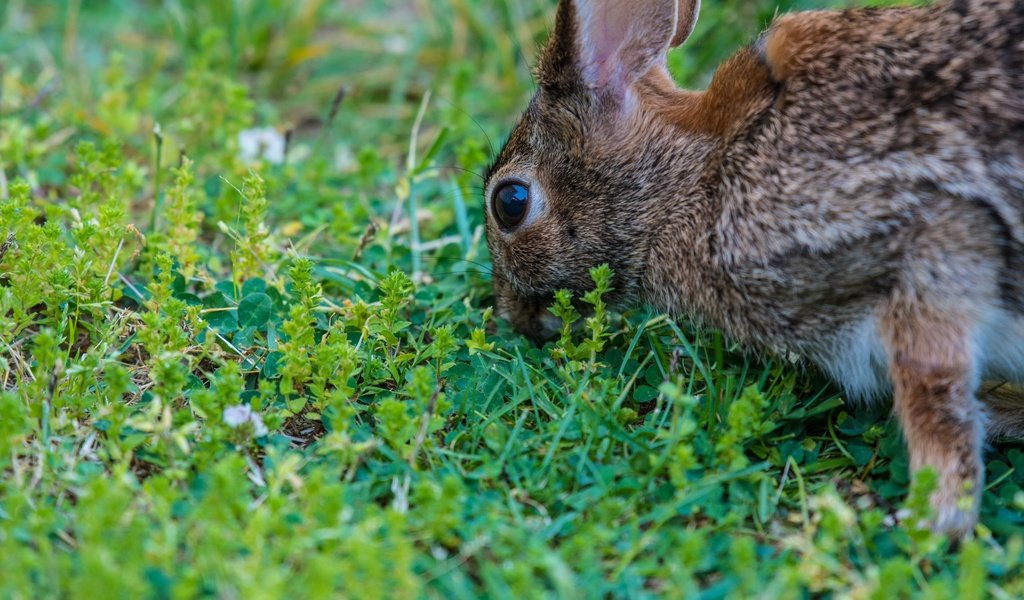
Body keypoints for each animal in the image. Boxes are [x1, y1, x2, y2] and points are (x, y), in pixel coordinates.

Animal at [483, 0, 1024, 536]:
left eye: (510, 202)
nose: (514, 317)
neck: (696, 172)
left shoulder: (933, 241)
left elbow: (933, 393)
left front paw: (930, 519)